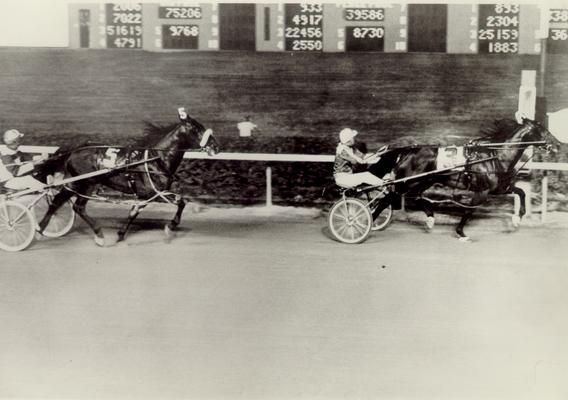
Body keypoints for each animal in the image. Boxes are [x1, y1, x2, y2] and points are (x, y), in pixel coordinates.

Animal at [33, 111, 220, 244]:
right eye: (196, 129)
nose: (216, 146)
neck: (156, 159)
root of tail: (73, 151)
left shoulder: (147, 195)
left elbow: (134, 212)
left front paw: (121, 234)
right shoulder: (153, 192)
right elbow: (181, 202)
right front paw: (170, 227)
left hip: (78, 184)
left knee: (63, 204)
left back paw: (43, 230)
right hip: (84, 183)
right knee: (72, 206)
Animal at [366, 115, 556, 241]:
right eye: (542, 130)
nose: (557, 145)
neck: (495, 156)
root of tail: (405, 151)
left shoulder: (500, 188)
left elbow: (521, 192)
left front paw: (517, 219)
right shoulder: (482, 192)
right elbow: (469, 211)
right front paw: (461, 232)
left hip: (423, 181)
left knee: (414, 197)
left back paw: (430, 218)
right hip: (407, 183)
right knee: (387, 199)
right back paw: (369, 220)